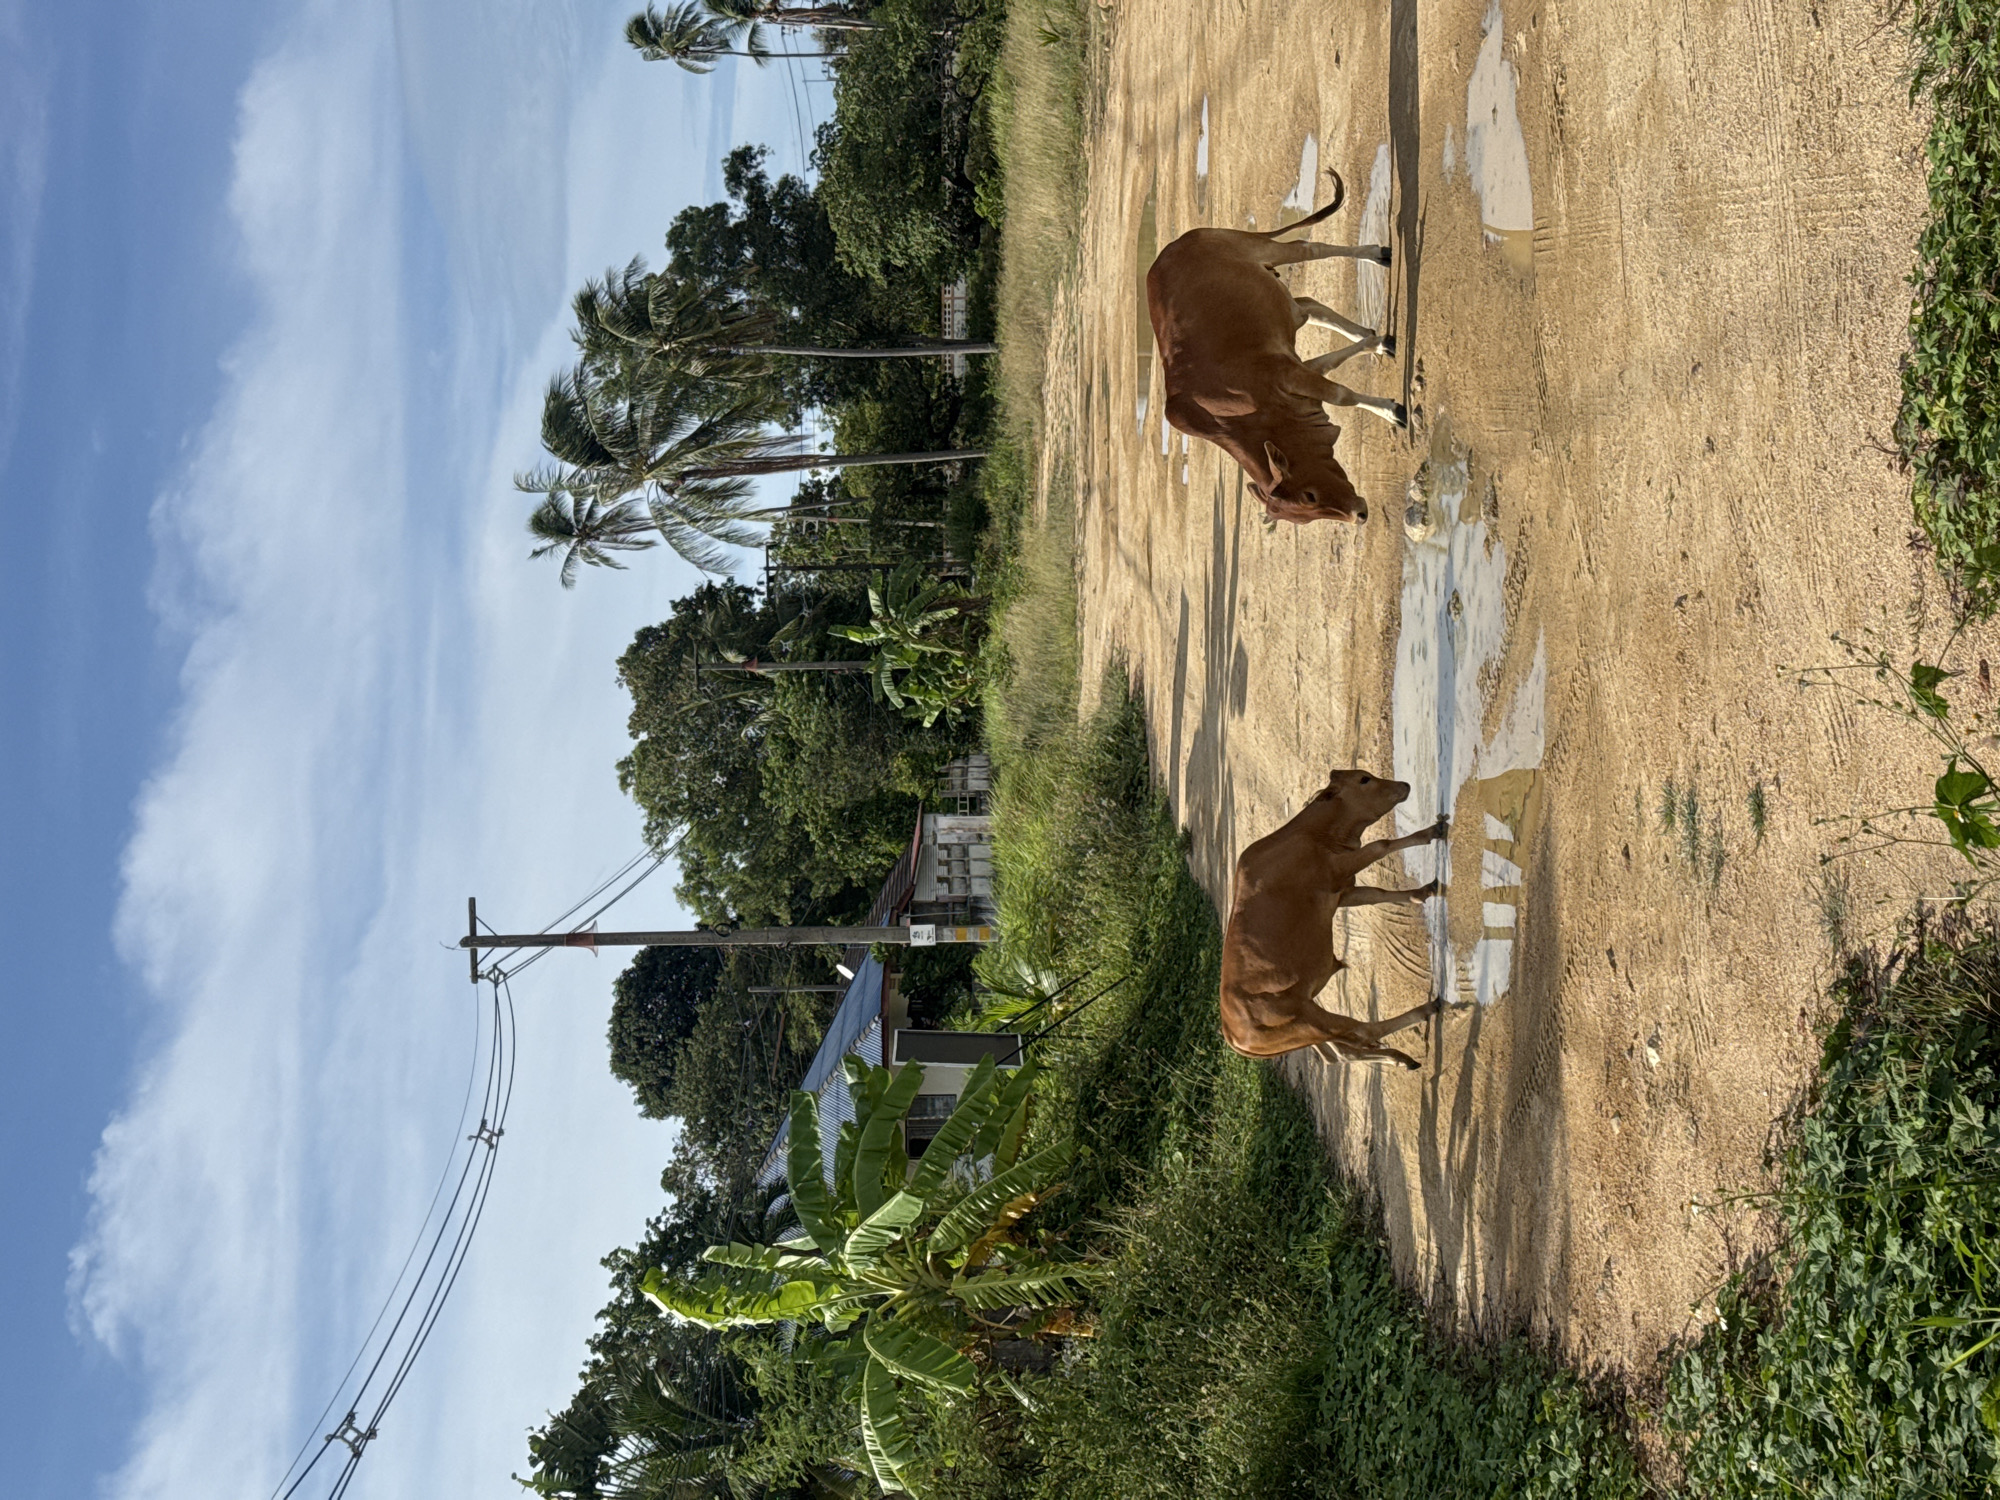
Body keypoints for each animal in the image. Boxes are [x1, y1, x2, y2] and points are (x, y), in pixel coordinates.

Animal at [1145, 170, 1404, 525]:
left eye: (1309, 496)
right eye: (1306, 512)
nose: (1359, 514)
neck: (1236, 416)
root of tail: (1177, 243)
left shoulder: (1290, 374)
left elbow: (1343, 395)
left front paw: (1393, 410)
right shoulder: (1295, 368)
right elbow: (1333, 367)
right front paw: (1377, 343)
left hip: (1262, 248)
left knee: (1309, 248)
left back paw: (1378, 253)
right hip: (1280, 296)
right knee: (1311, 306)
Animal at [1220, 768, 1449, 1069]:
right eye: (1364, 779)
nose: (1405, 784)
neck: (1311, 834)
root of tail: (1231, 1033)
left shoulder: (1343, 891)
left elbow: (1377, 894)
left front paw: (1422, 892)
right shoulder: (1340, 868)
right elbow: (1381, 845)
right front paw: (1432, 831)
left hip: (1312, 1025)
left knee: (1343, 1053)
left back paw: (1401, 1059)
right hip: (1310, 1021)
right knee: (1363, 1032)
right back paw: (1426, 1010)